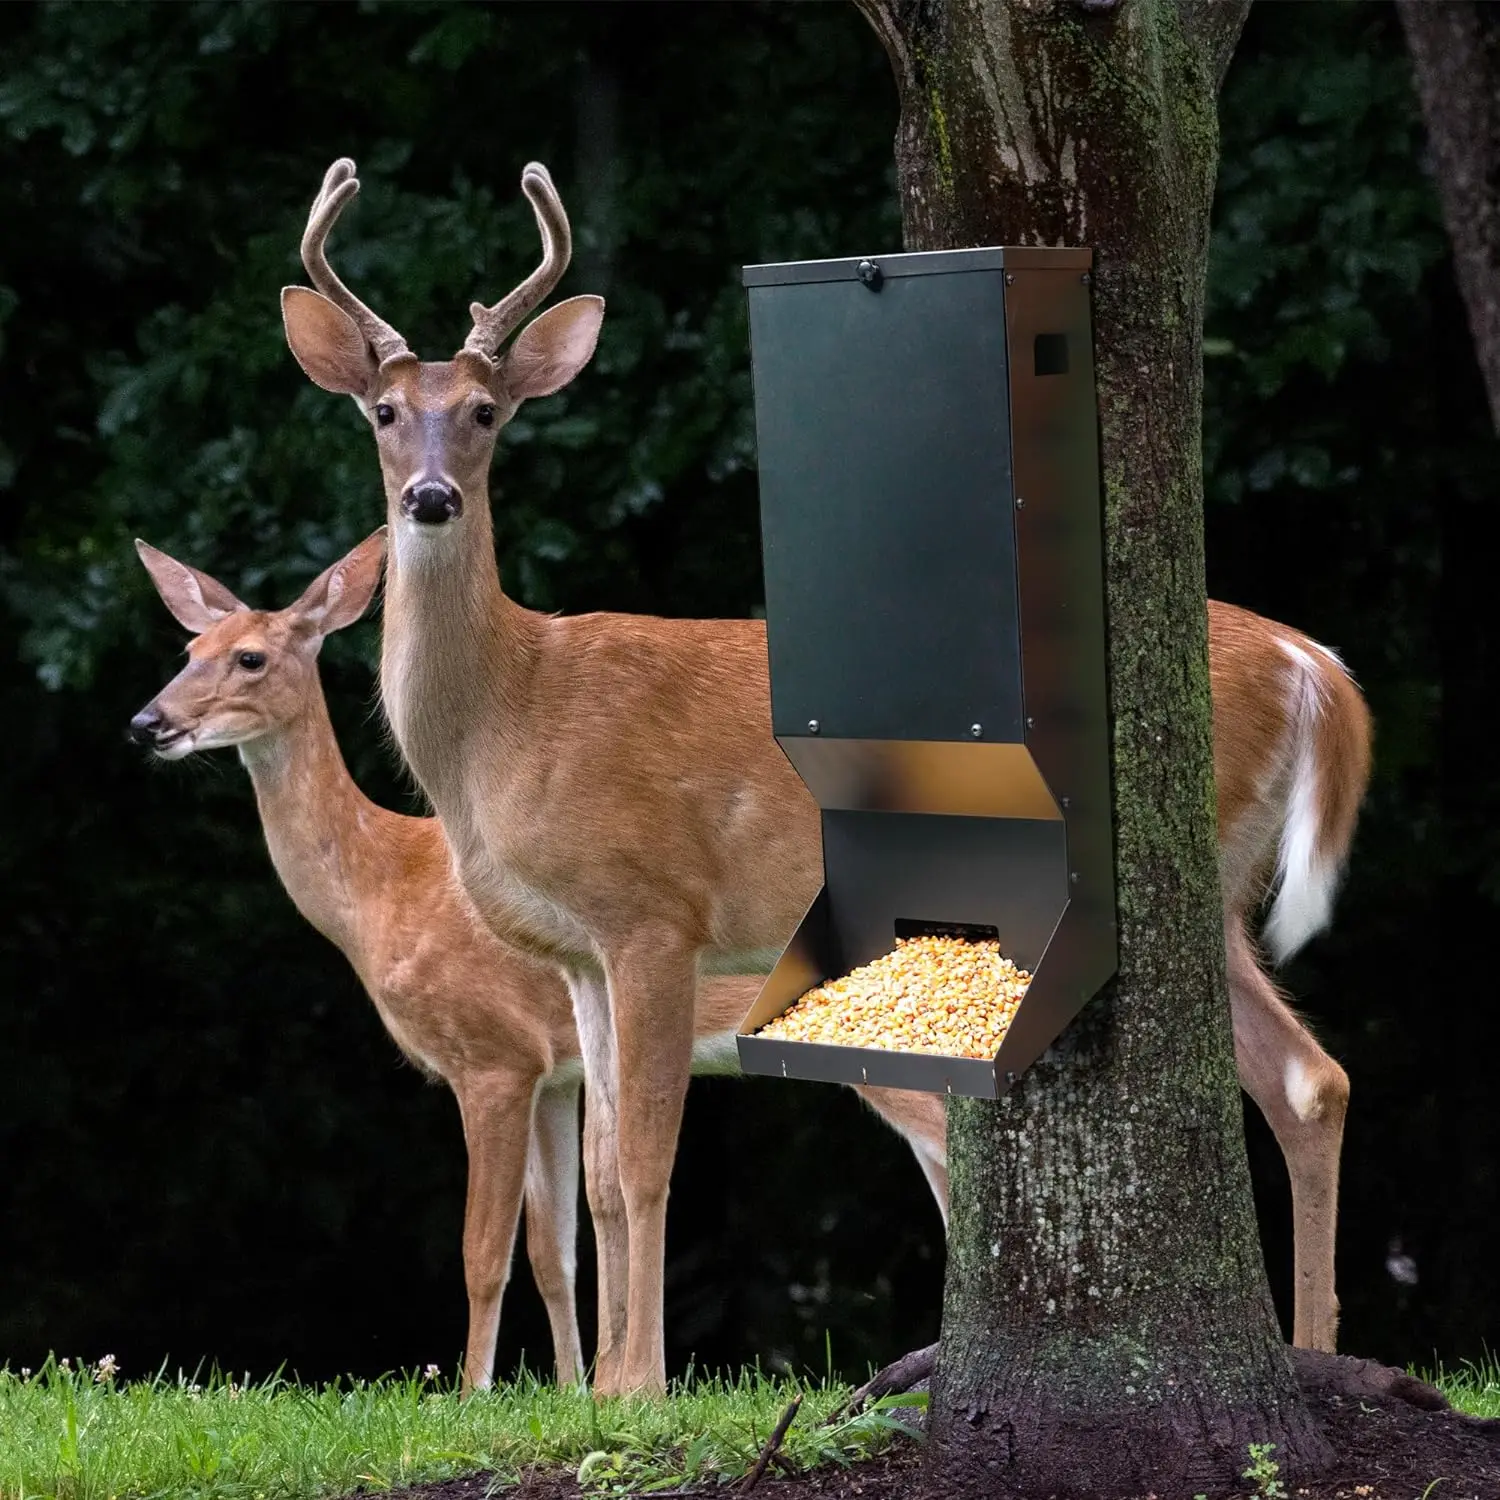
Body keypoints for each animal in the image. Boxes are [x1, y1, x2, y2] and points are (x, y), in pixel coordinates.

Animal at [126, 529, 950, 1395]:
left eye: (249, 657)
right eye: (189, 649)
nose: (148, 722)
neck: (382, 893)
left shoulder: (495, 1055)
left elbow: (483, 1250)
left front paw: (472, 1394)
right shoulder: (555, 1073)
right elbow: (554, 1249)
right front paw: (572, 1387)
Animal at [278, 157, 1372, 1392]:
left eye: (483, 412)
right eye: (381, 413)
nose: (429, 497)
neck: (506, 721)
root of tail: (1313, 663)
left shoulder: (654, 913)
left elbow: (648, 1158)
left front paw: (643, 1387)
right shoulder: (577, 957)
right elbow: (600, 1177)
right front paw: (600, 1390)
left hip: (1182, 856)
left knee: (1298, 1075)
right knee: (1308, 1079)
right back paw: (1315, 1350)